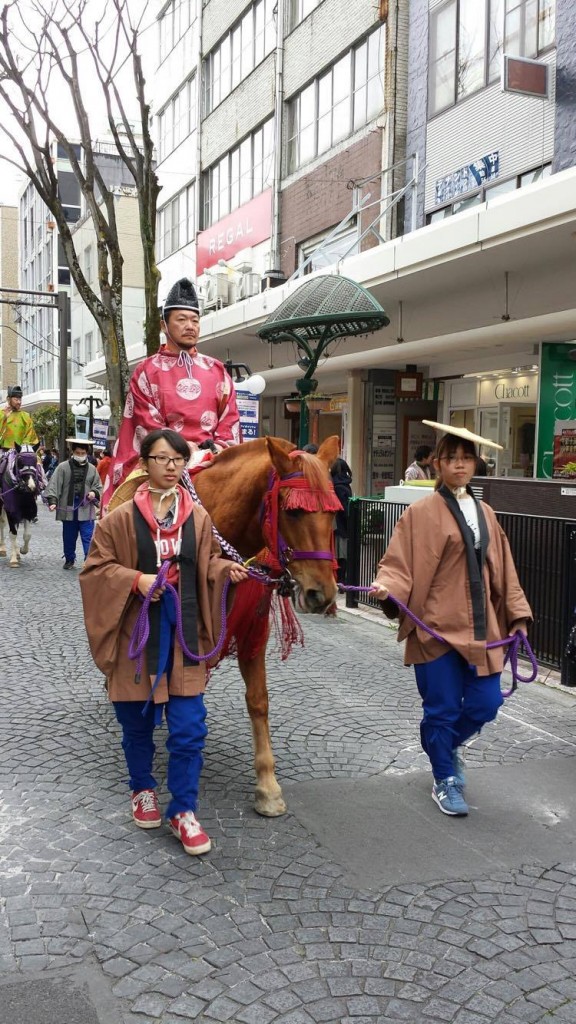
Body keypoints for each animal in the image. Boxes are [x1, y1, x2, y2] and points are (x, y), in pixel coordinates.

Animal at [192, 432, 338, 815]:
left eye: (335, 513)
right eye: (294, 511)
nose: (323, 594)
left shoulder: (252, 627)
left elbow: (258, 701)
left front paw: (267, 786)